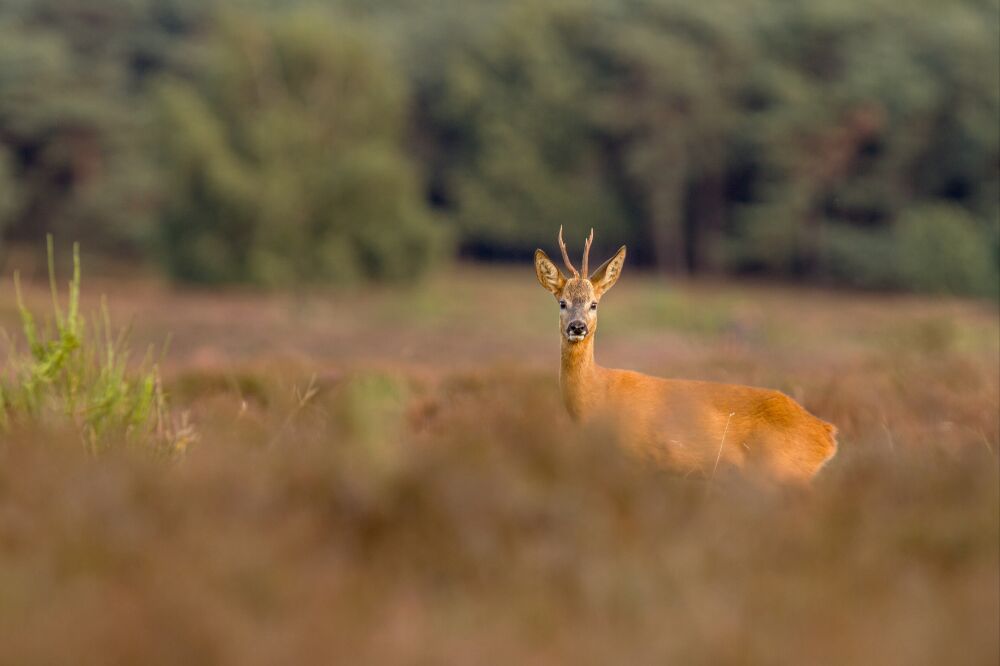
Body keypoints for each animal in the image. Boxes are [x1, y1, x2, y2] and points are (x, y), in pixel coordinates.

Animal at [532, 226, 836, 480]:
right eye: (562, 302)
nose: (577, 326)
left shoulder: (638, 456)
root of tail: (826, 433)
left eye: (594, 304)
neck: (597, 393)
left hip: (781, 471)